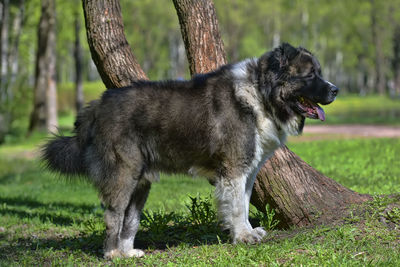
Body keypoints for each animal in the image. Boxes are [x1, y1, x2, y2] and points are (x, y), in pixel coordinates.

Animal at [42, 44, 340, 260]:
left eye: (320, 72)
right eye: (310, 75)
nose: (335, 89)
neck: (259, 94)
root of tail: (98, 105)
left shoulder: (247, 171)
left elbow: (243, 204)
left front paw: (245, 232)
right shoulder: (234, 169)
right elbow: (236, 208)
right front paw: (243, 237)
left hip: (141, 182)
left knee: (130, 220)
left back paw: (128, 253)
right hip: (123, 175)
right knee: (114, 216)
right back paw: (113, 254)